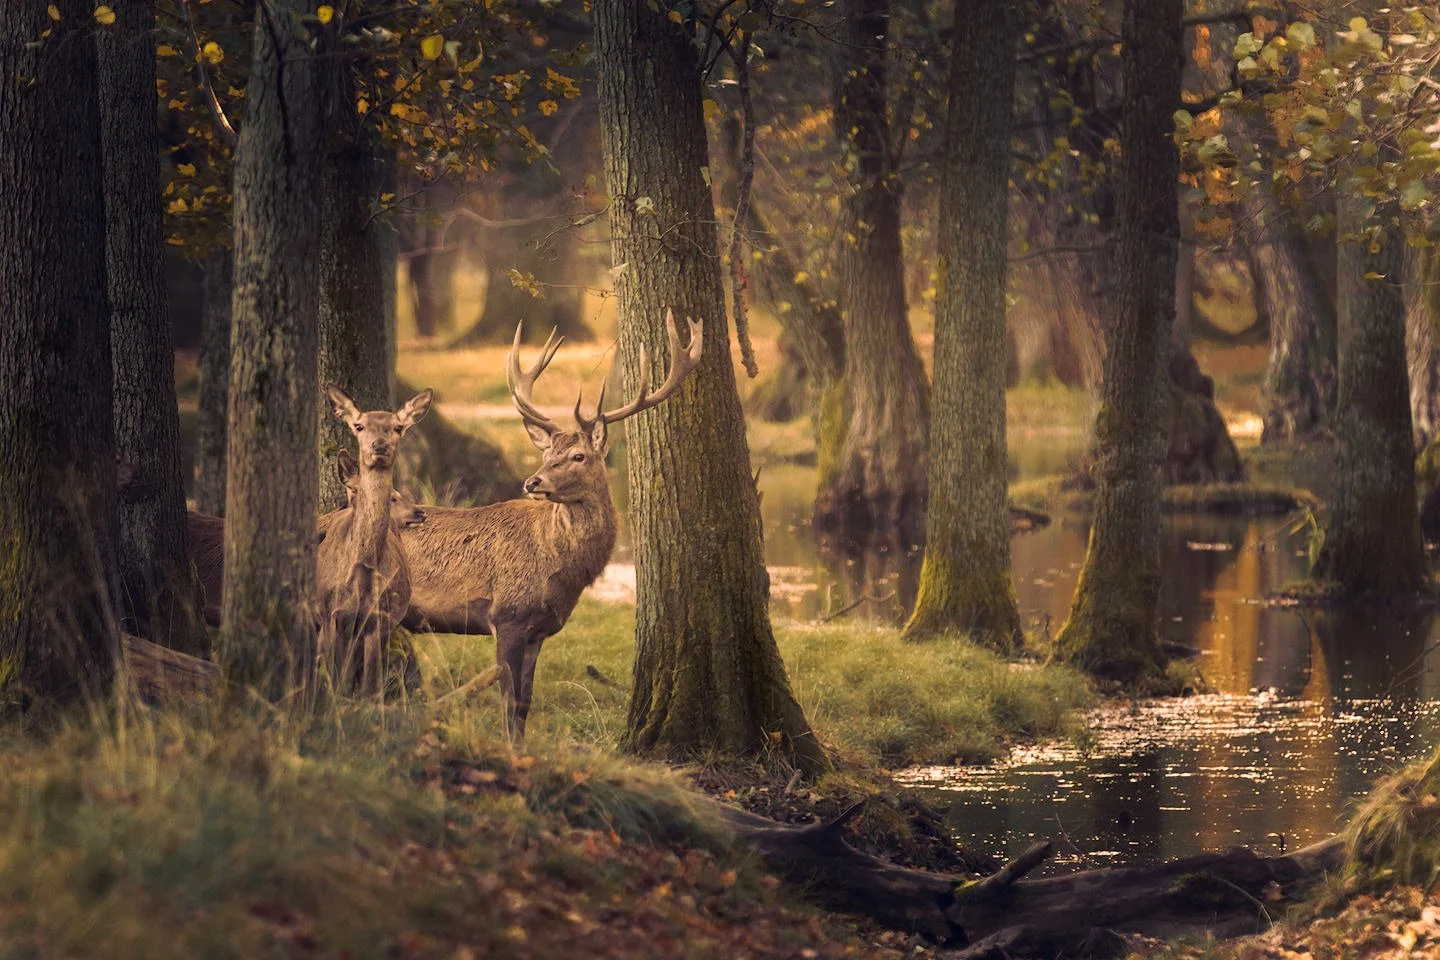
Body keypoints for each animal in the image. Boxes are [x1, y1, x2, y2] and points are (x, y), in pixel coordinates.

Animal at [316, 385, 432, 694]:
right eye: (359, 426)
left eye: (398, 427)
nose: (379, 446)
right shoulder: (333, 615)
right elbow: (334, 677)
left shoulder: (379, 619)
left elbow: (369, 685)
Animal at [400, 310, 703, 739]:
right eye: (546, 454)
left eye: (578, 456)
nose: (533, 481)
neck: (558, 569)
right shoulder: (506, 614)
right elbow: (509, 703)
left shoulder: (540, 629)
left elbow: (525, 703)